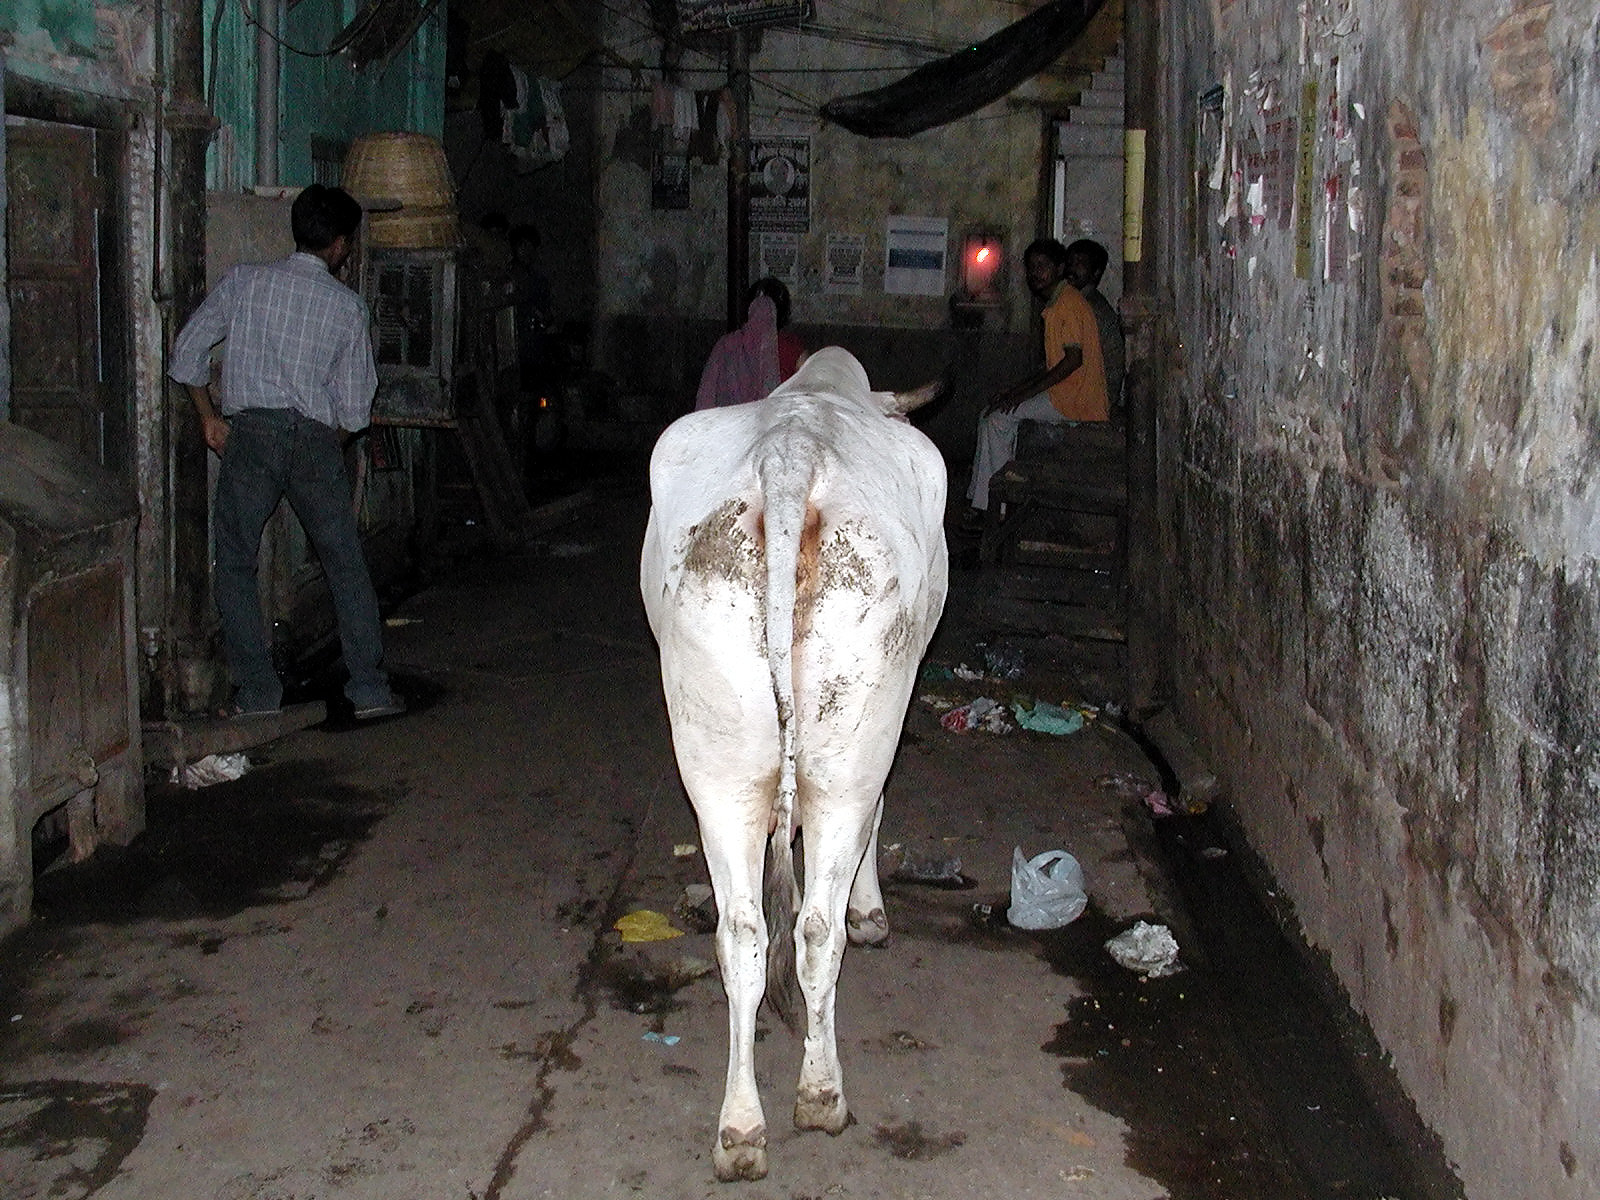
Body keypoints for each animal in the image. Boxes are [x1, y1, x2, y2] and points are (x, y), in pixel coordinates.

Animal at [641, 347, 949, 1181]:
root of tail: (789, 456)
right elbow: (878, 811)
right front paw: (873, 912)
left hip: (715, 750)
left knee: (743, 934)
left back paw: (741, 1127)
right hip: (852, 734)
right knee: (815, 929)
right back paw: (820, 1095)